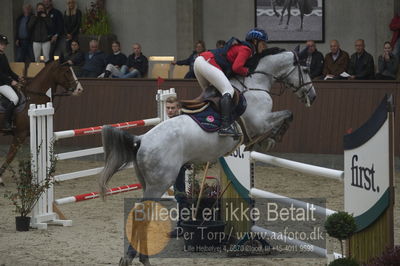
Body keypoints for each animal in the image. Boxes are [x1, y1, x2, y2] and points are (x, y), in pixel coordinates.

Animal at [98, 49, 314, 264]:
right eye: (305, 69)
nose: (312, 95)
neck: (256, 83)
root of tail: (141, 140)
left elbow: (285, 116)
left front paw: (268, 140)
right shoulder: (260, 123)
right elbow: (288, 114)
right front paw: (272, 138)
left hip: (147, 182)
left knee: (146, 214)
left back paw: (142, 257)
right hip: (159, 183)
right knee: (141, 214)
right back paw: (132, 258)